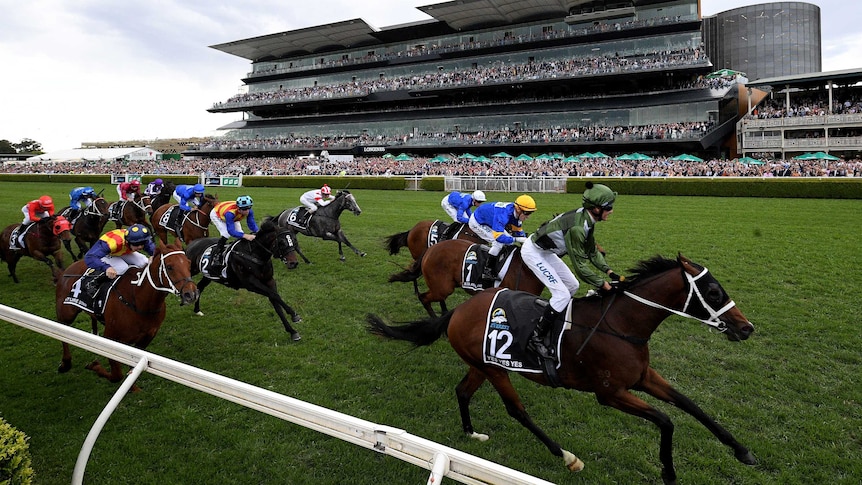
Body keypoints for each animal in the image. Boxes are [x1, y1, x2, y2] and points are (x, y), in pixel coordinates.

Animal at [54, 240, 200, 388]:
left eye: (188, 263)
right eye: (169, 267)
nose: (191, 294)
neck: (139, 300)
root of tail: (67, 270)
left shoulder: (146, 337)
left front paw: (132, 387)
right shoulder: (111, 337)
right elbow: (116, 375)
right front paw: (94, 366)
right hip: (66, 313)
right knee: (61, 328)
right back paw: (65, 363)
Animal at [368, 255, 760, 482]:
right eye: (713, 292)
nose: (746, 328)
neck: (621, 324)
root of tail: (458, 311)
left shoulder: (644, 377)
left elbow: (690, 405)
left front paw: (743, 451)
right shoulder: (610, 393)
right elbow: (666, 420)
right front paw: (668, 471)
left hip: (483, 363)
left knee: (462, 391)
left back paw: (471, 433)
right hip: (496, 370)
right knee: (517, 410)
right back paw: (567, 456)